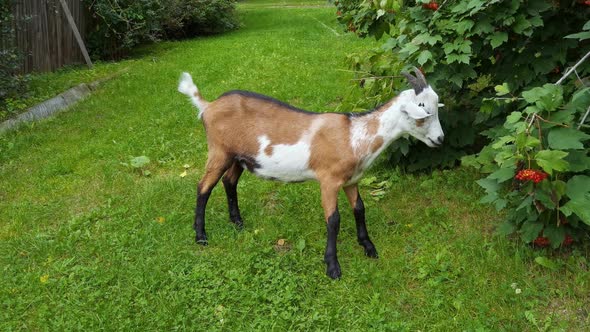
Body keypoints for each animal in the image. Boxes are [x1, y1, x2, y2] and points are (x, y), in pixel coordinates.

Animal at [178, 68, 446, 280]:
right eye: (423, 109)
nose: (440, 139)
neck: (354, 136)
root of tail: (208, 106)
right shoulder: (328, 180)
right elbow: (334, 219)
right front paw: (333, 267)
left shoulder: (352, 180)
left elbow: (359, 209)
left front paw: (368, 247)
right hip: (219, 151)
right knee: (203, 187)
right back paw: (201, 236)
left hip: (237, 156)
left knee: (229, 181)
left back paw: (237, 222)